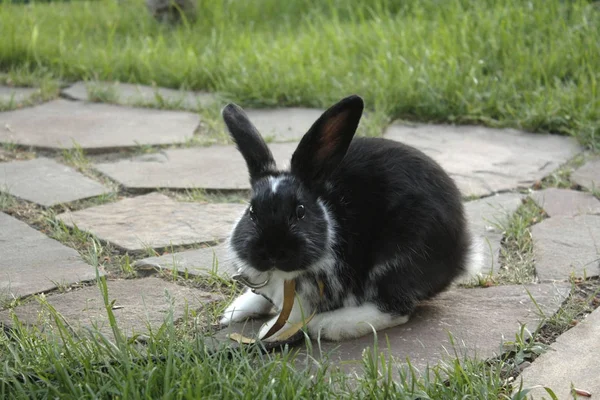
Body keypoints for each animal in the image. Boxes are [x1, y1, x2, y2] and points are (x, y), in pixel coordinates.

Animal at [218, 94, 480, 340]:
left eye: (300, 211)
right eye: (252, 211)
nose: (272, 251)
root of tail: (463, 252)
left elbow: (295, 314)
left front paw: (270, 331)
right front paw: (233, 312)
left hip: (399, 257)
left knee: (395, 309)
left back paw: (329, 325)